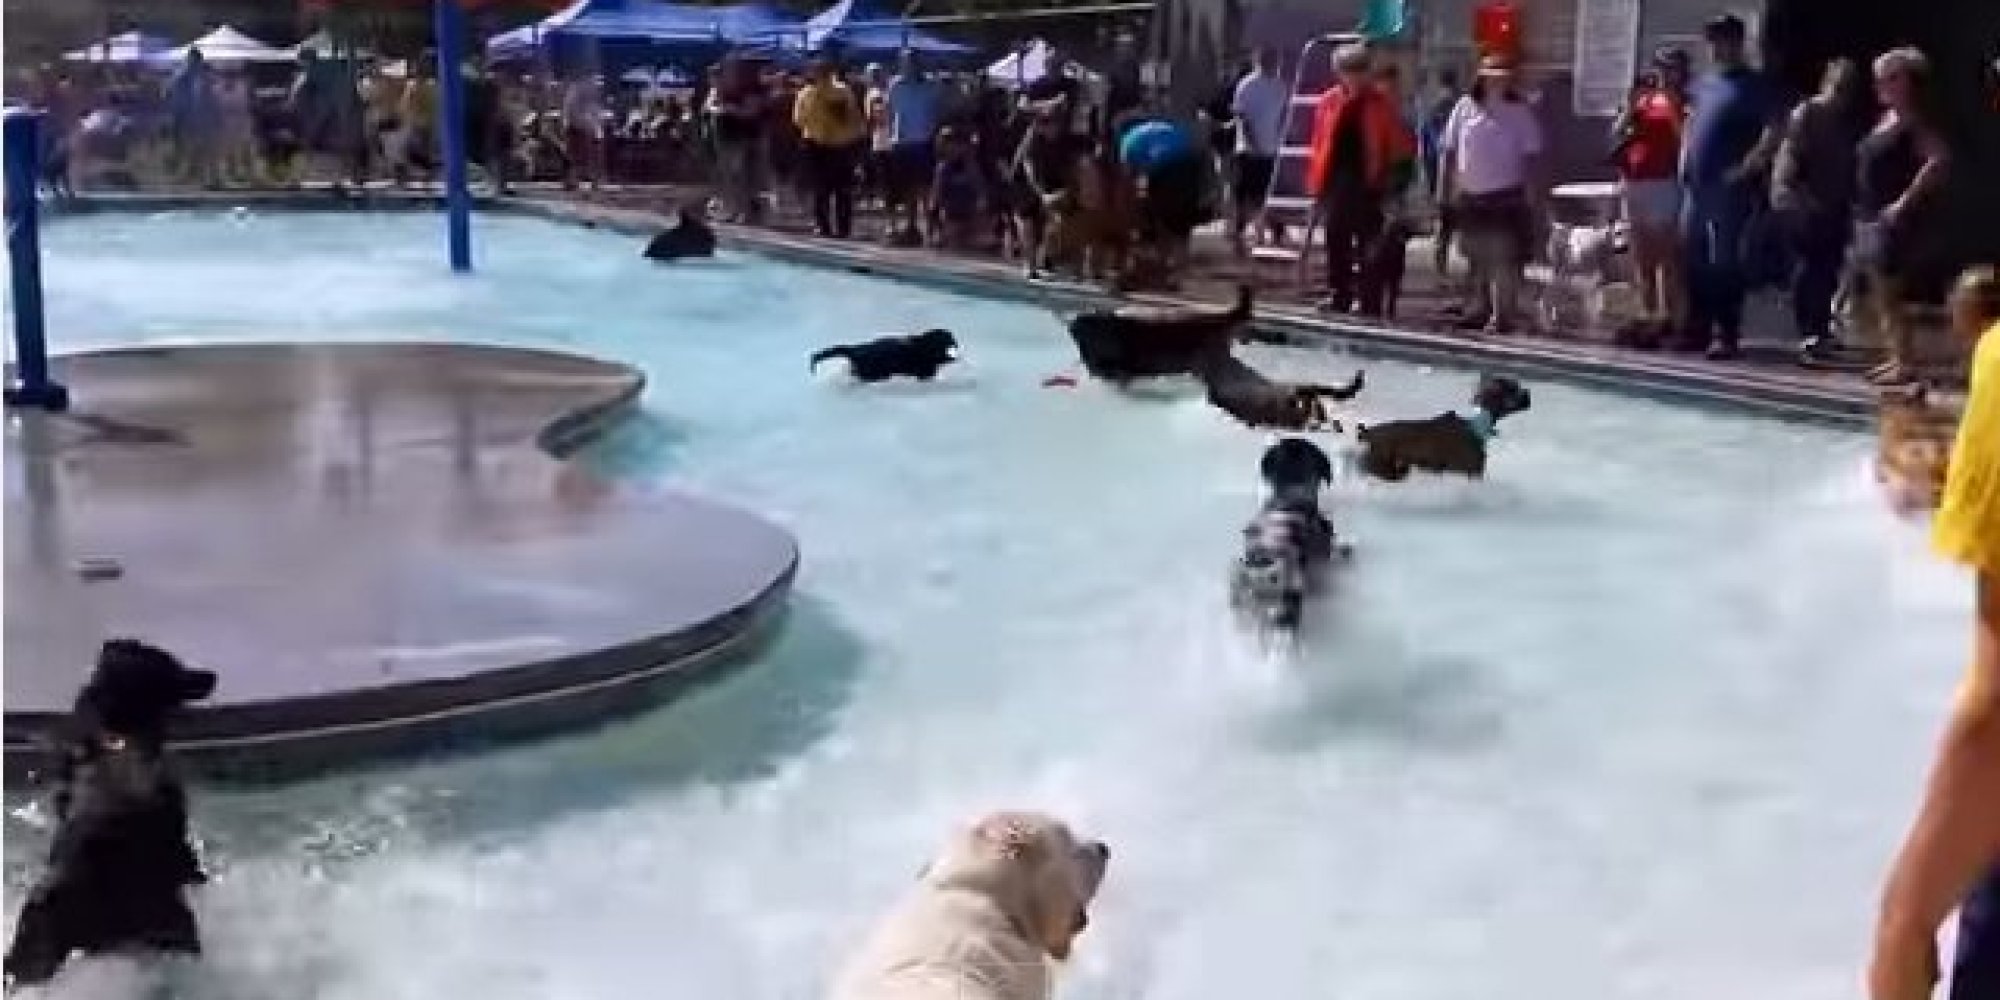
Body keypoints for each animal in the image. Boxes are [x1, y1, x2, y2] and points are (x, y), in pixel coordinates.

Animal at [2, 640, 217, 984]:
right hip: (174, 924)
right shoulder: (177, 844)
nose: (212, 675)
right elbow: (191, 867)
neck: (116, 740)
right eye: (173, 664)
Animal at [816, 328, 964, 382]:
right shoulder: (926, 368)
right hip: (873, 372)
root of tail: (854, 350)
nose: (956, 342)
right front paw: (955, 358)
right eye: (949, 337)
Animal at [1352, 376, 1536, 484]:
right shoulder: (1471, 472)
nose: (1529, 395)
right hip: (1385, 466)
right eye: (1513, 389)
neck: (1478, 426)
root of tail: (1368, 432)